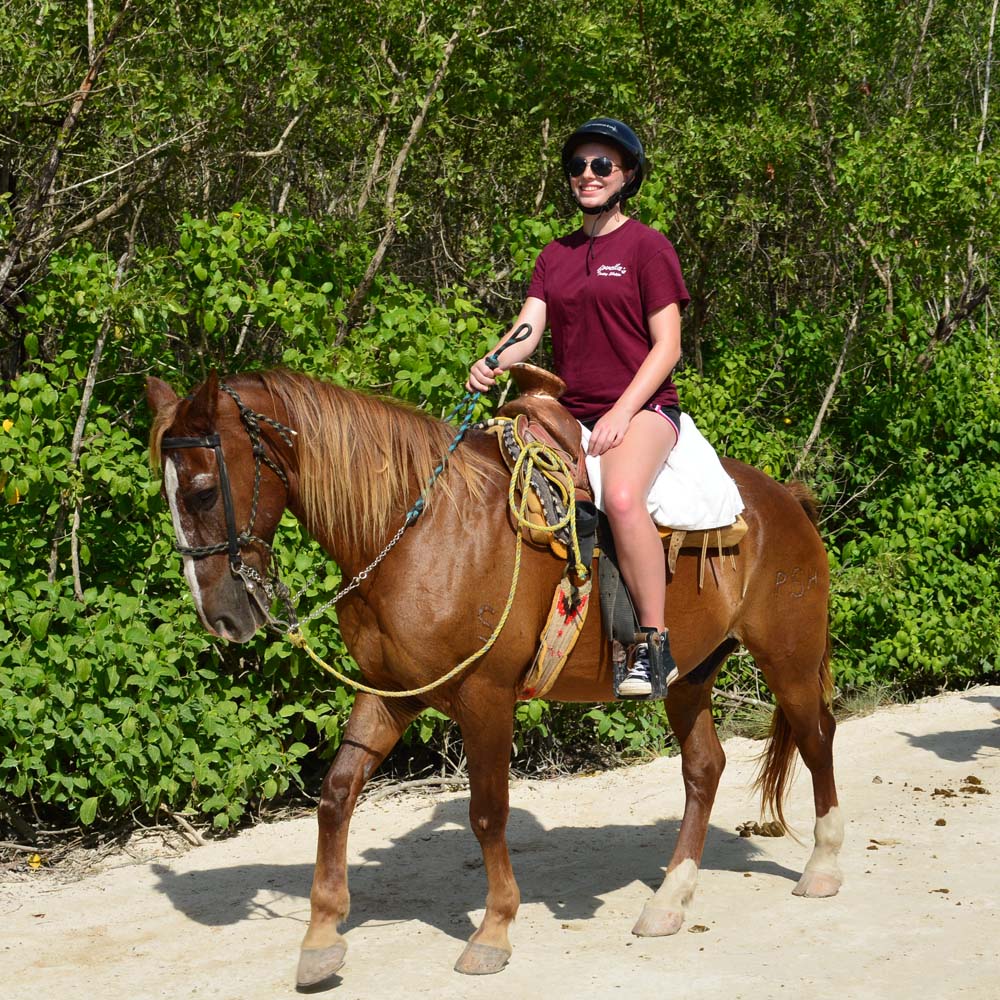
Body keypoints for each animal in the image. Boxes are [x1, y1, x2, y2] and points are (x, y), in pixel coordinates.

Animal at [145, 370, 840, 992]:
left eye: (203, 491)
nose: (220, 617)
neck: (420, 532)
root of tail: (785, 499)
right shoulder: (388, 695)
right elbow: (336, 795)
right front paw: (320, 940)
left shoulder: (486, 697)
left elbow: (487, 812)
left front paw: (493, 931)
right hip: (692, 674)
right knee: (704, 767)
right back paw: (670, 899)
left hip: (789, 661)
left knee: (816, 738)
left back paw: (824, 865)